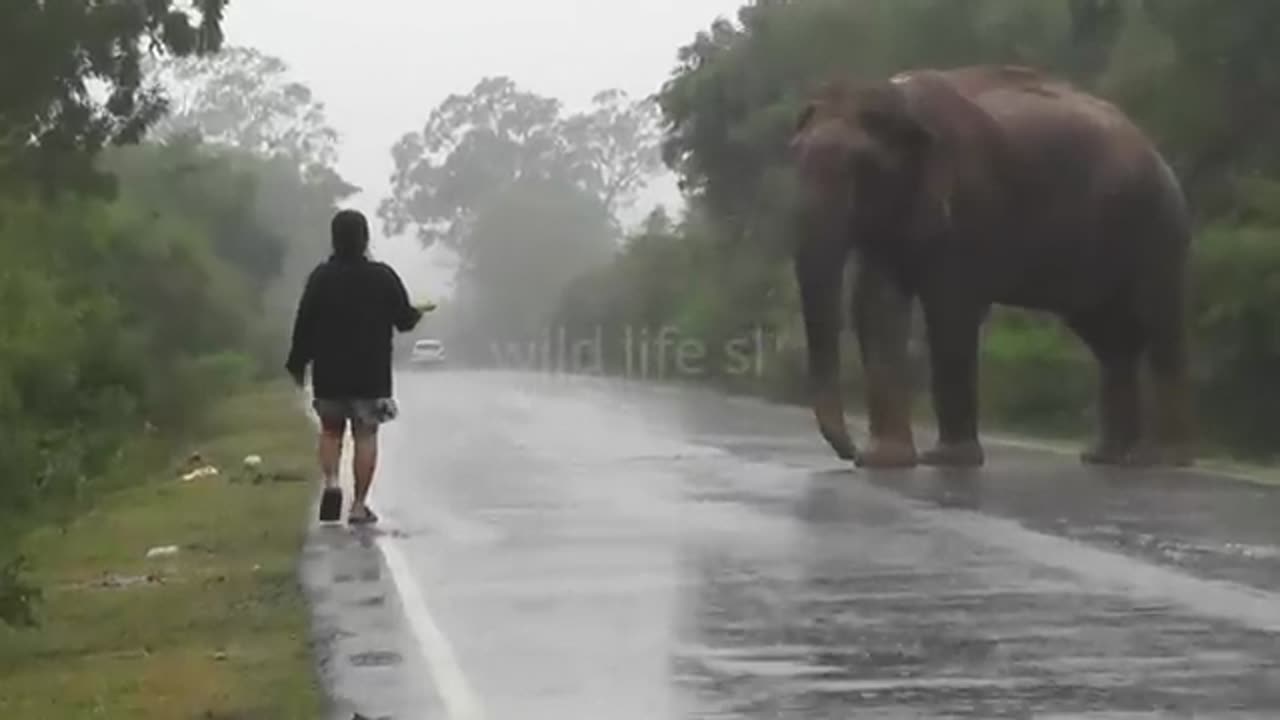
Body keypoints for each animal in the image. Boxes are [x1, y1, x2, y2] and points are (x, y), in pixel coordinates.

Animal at [783, 64, 1192, 468]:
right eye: (794, 156)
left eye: (863, 168)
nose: (849, 452)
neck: (899, 98)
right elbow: (877, 308)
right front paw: (885, 460)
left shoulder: (970, 204)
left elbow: (950, 312)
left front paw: (946, 459)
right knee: (1110, 341)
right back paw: (1105, 456)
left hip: (1159, 231)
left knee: (1158, 327)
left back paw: (1160, 458)